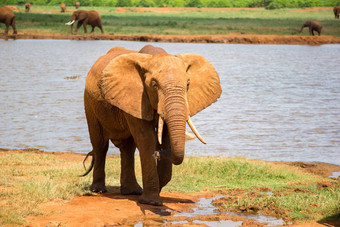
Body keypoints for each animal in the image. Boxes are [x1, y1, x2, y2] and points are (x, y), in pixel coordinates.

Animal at [83, 44, 222, 206]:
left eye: (188, 84)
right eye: (154, 85)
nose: (158, 153)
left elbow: (166, 138)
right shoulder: (137, 97)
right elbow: (146, 139)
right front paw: (152, 202)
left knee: (128, 147)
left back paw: (132, 191)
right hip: (89, 103)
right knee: (100, 144)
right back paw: (98, 190)